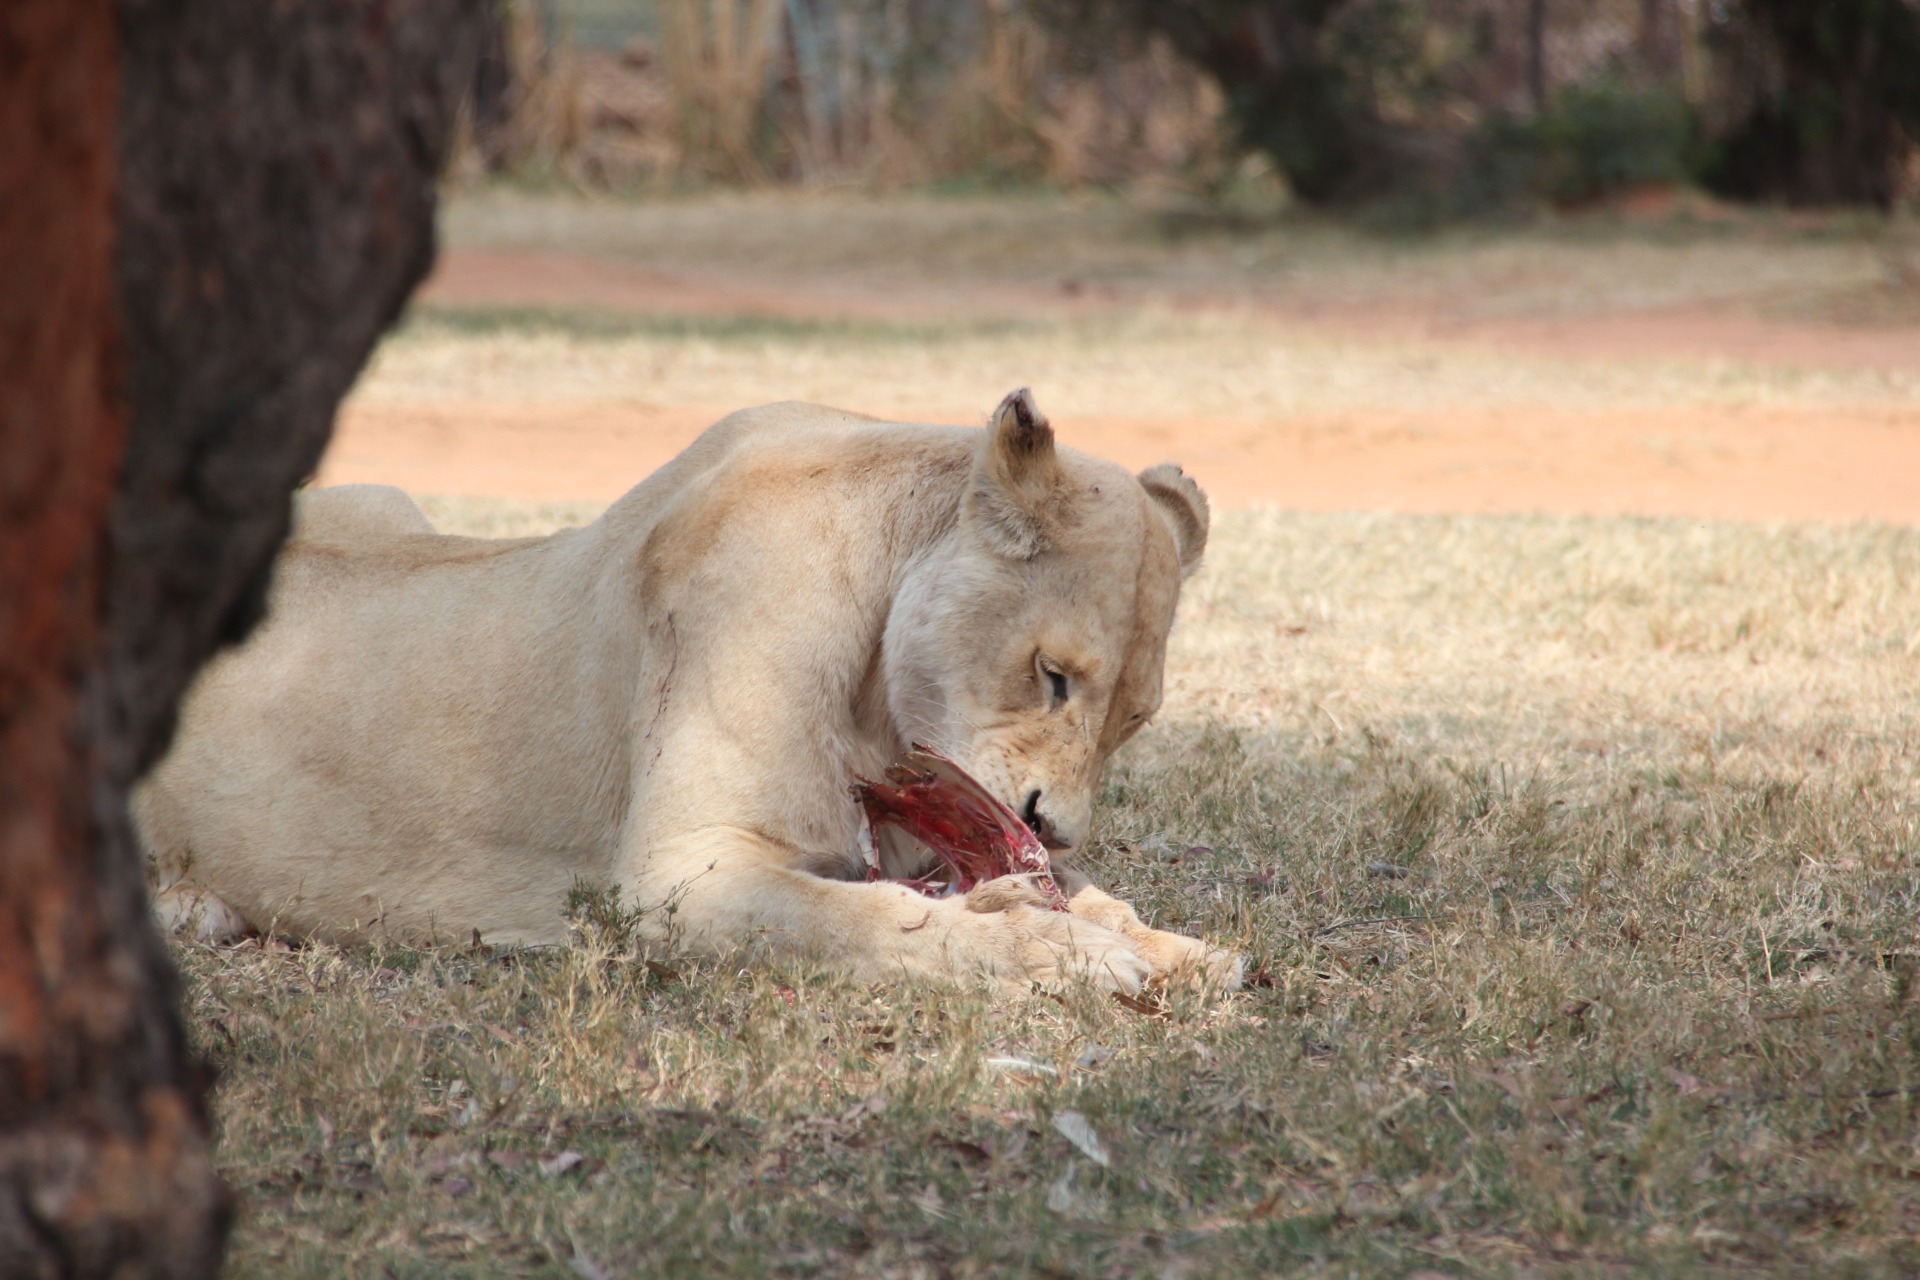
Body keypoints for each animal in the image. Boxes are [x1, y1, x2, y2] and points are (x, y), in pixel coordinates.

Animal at [137, 390, 1238, 993]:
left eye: (1134, 720)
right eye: (1052, 676)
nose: (1050, 826)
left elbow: (1080, 894)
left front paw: (1174, 947)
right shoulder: (674, 883)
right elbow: (871, 922)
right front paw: (1067, 953)